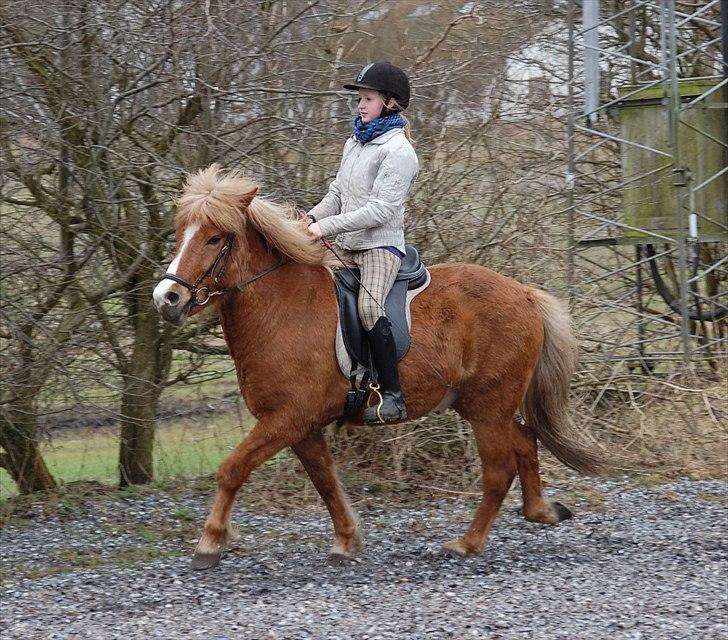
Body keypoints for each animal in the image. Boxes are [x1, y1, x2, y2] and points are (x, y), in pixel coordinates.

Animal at [151, 165, 600, 568]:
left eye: (214, 238)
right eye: (180, 232)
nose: (166, 299)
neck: (282, 310)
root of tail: (524, 294)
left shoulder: (287, 418)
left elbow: (232, 469)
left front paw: (209, 543)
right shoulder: (301, 425)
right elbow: (325, 480)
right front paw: (347, 540)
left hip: (489, 406)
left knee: (498, 470)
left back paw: (467, 543)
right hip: (479, 403)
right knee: (526, 441)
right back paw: (542, 511)